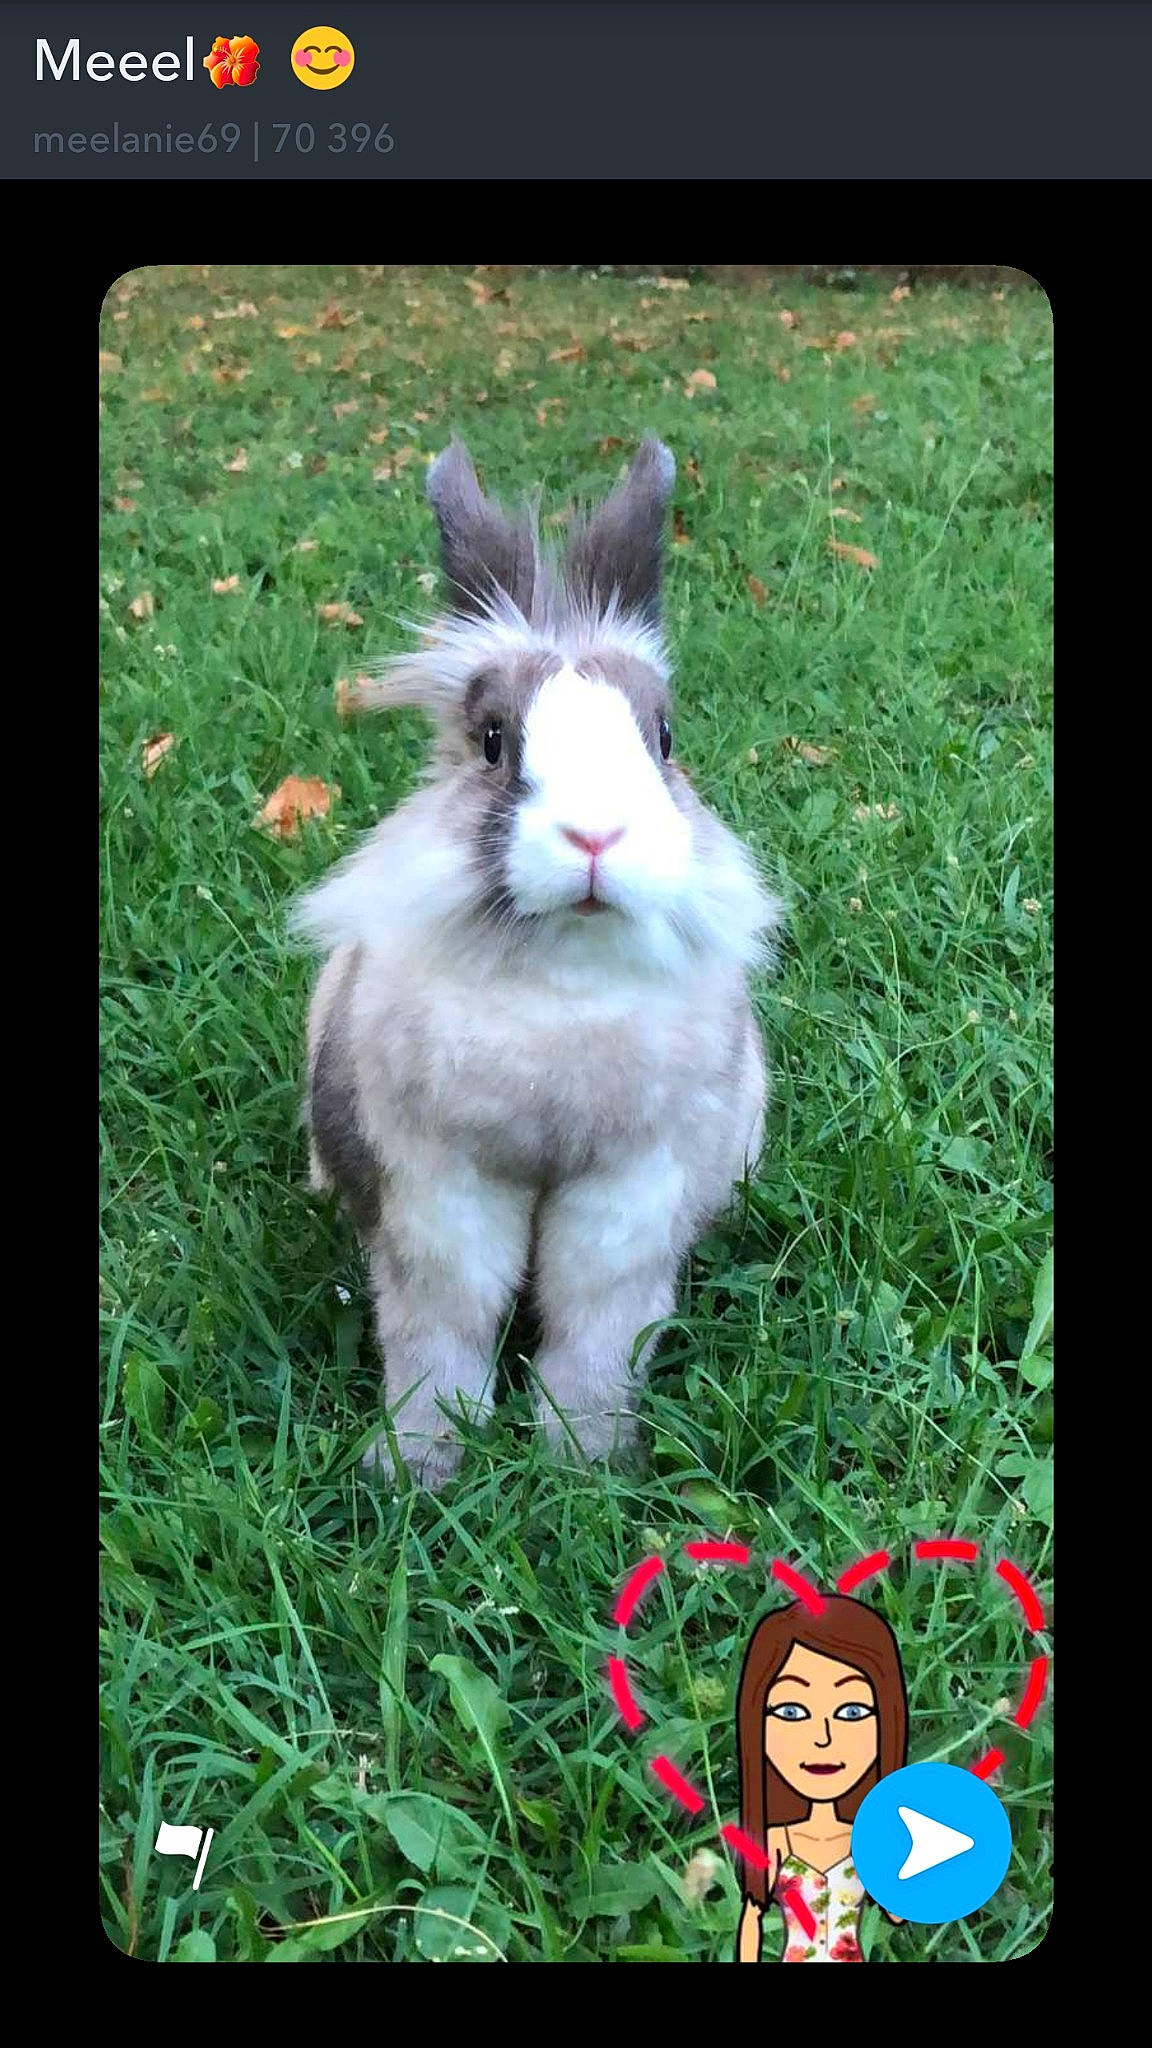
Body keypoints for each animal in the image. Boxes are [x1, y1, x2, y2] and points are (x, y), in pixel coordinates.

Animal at [293, 434, 781, 1490]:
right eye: (492, 743)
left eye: (664, 737)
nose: (595, 836)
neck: (564, 985)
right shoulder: (434, 1187)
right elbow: (443, 1322)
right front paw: (420, 1468)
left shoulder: (632, 1192)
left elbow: (597, 1324)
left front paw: (584, 1460)